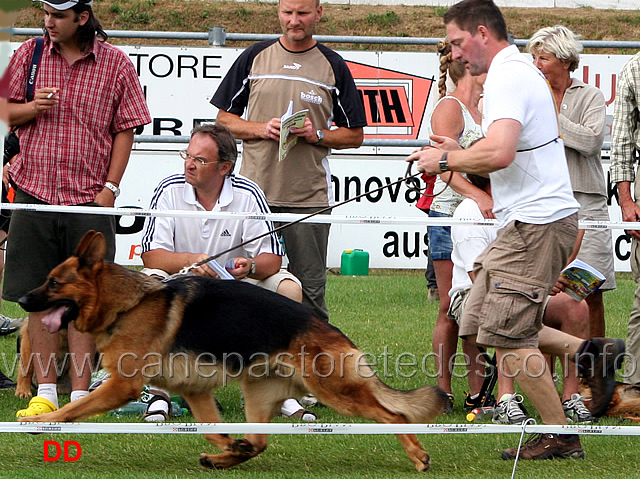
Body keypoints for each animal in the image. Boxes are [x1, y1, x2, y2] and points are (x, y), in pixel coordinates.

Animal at [16, 232, 444, 472]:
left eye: (54, 282)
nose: (20, 300)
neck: (128, 304)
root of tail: (331, 330)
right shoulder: (195, 391)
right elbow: (210, 429)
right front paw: (226, 445)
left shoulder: (123, 385)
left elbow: (74, 408)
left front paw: (42, 422)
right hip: (259, 395)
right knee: (258, 442)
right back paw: (228, 457)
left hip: (335, 392)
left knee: (394, 417)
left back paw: (418, 456)